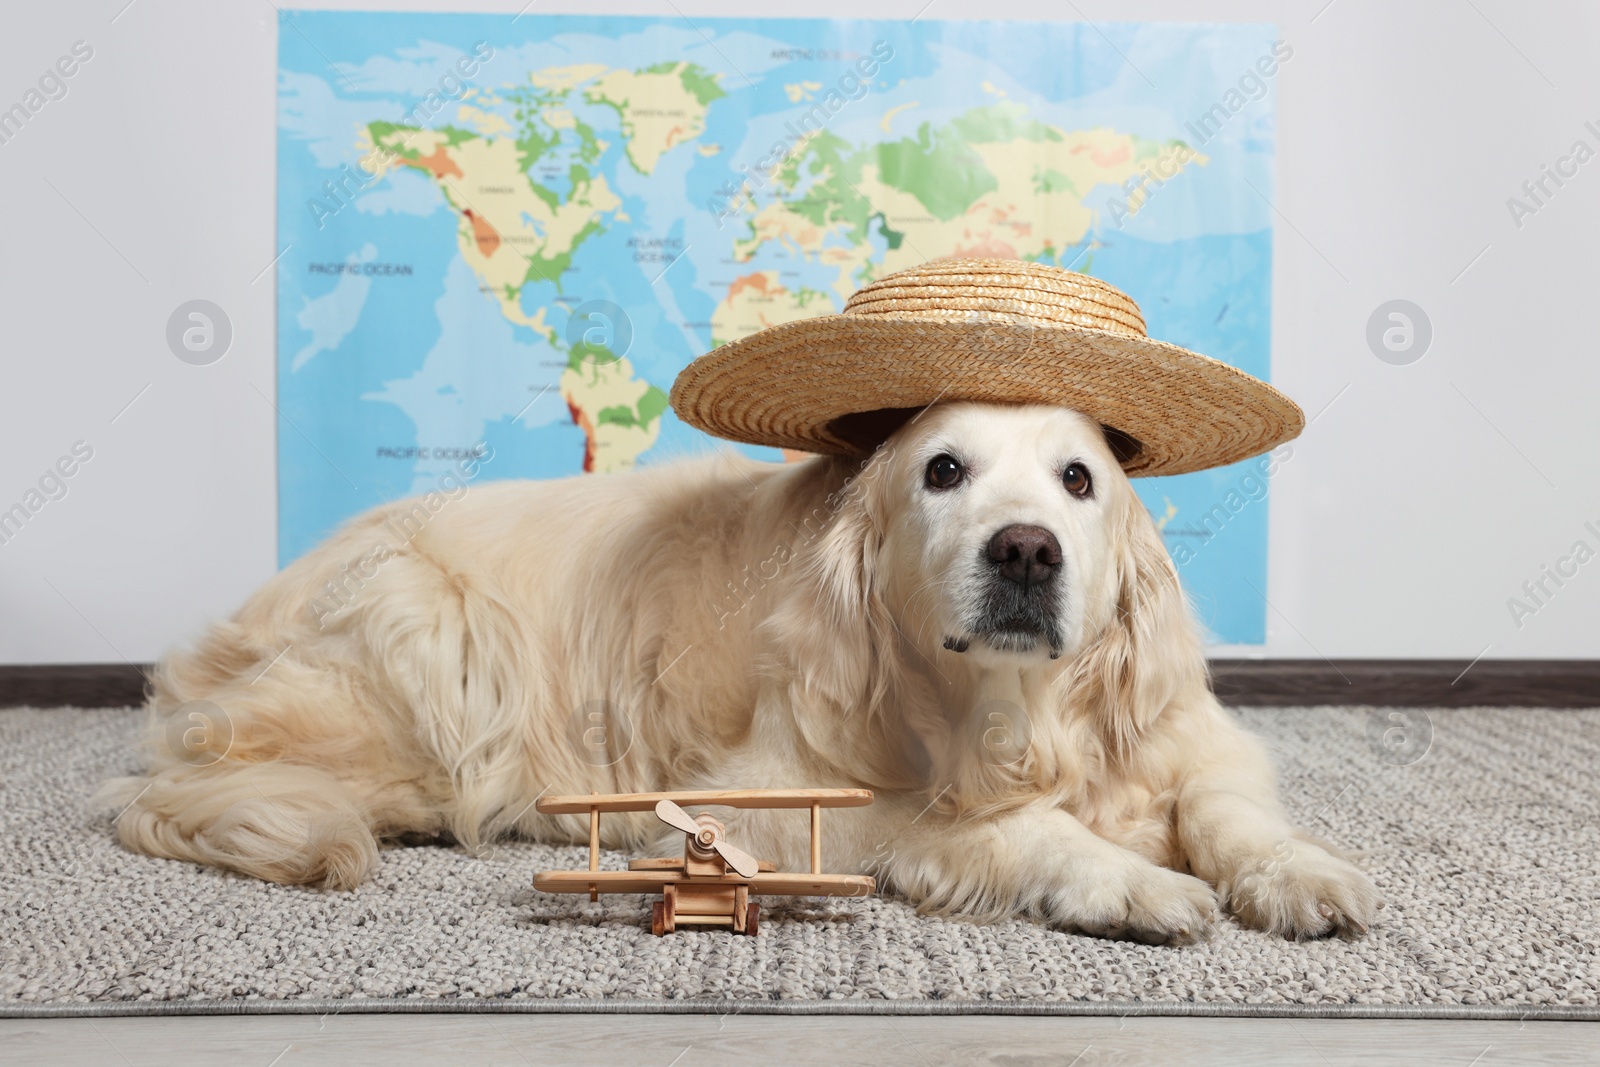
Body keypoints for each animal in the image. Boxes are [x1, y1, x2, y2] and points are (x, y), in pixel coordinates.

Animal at [100, 403, 1382, 940]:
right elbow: (1010, 827)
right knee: (159, 790)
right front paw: (1129, 879)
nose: (1025, 550)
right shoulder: (789, 787)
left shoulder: (1188, 735)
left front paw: (1297, 871)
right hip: (435, 638)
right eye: (943, 469)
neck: (1010, 711)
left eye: (1079, 480)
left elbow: (1225, 806)